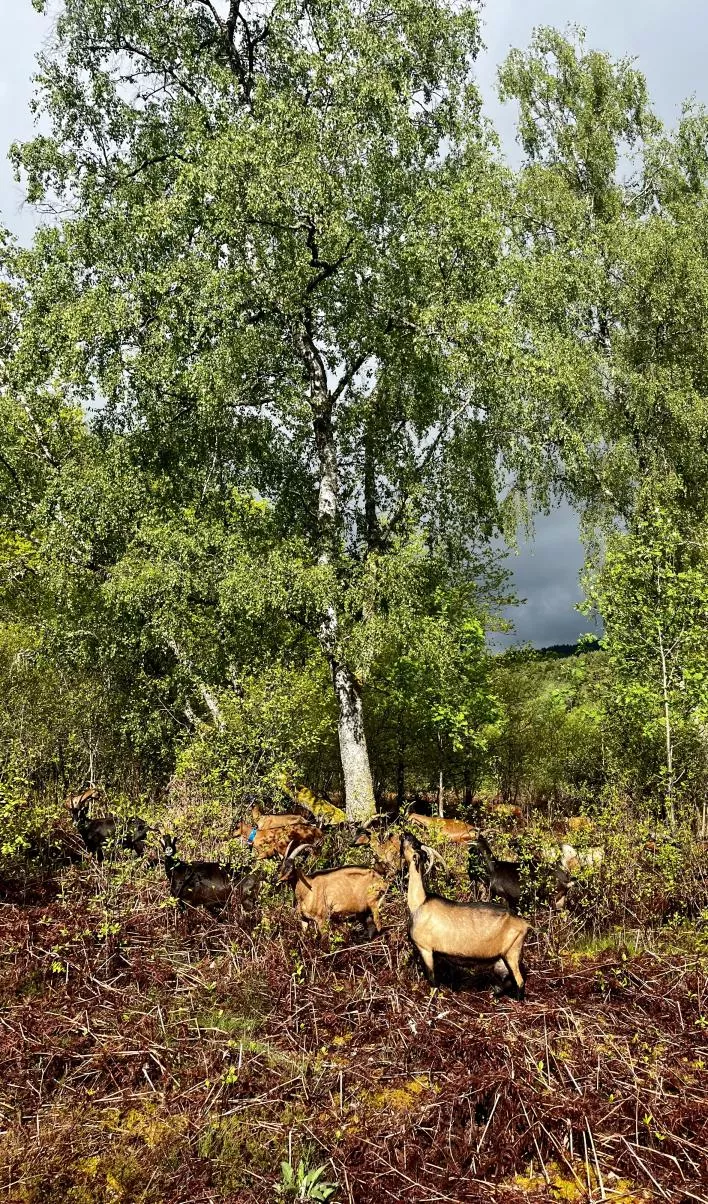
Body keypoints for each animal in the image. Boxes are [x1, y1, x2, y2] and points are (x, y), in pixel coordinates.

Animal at [401, 833, 530, 998]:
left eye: (414, 844)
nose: (405, 834)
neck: (420, 902)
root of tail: (524, 924)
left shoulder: (426, 949)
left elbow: (433, 980)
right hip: (503, 957)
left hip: (512, 952)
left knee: (519, 981)